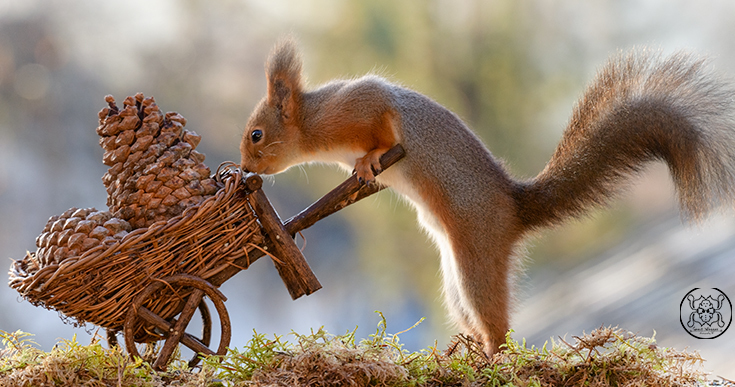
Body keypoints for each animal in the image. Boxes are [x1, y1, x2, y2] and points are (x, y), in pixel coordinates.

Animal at [240, 40, 735, 358]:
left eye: (257, 135)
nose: (245, 169)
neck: (315, 124)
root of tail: (513, 209)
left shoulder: (363, 105)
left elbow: (383, 129)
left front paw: (369, 161)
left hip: (476, 256)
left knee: (497, 323)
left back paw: (496, 359)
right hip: (455, 282)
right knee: (473, 319)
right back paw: (465, 353)